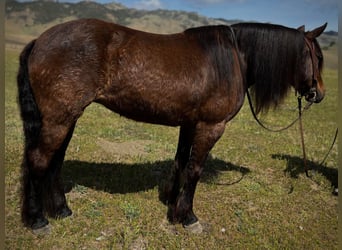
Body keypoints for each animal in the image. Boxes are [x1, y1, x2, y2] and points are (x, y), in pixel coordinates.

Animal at [16, 18, 326, 233]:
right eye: (319, 58)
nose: (319, 94)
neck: (234, 58)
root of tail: (39, 41)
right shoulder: (210, 126)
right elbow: (195, 169)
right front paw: (188, 217)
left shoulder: (189, 124)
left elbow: (181, 162)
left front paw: (171, 202)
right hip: (59, 119)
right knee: (39, 160)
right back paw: (37, 220)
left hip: (66, 119)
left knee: (54, 161)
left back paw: (61, 210)